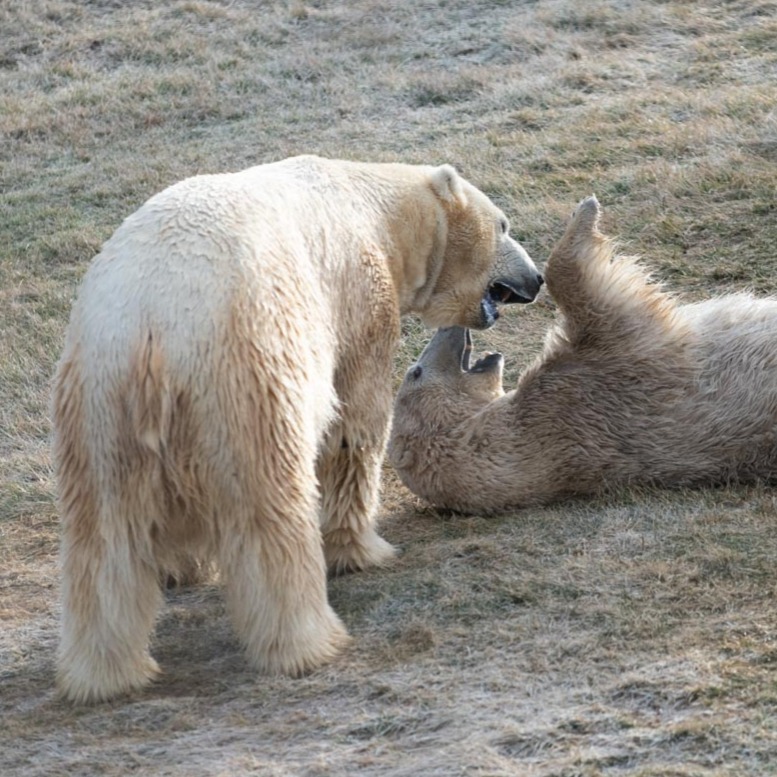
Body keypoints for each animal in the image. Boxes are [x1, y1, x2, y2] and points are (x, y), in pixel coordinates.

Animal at [51, 155, 543, 703]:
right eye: (503, 224)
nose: (537, 277)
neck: (374, 208)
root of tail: (152, 332)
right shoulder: (358, 300)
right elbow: (355, 423)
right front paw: (362, 550)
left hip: (97, 405)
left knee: (103, 538)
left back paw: (104, 672)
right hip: (246, 381)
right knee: (272, 512)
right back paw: (309, 641)